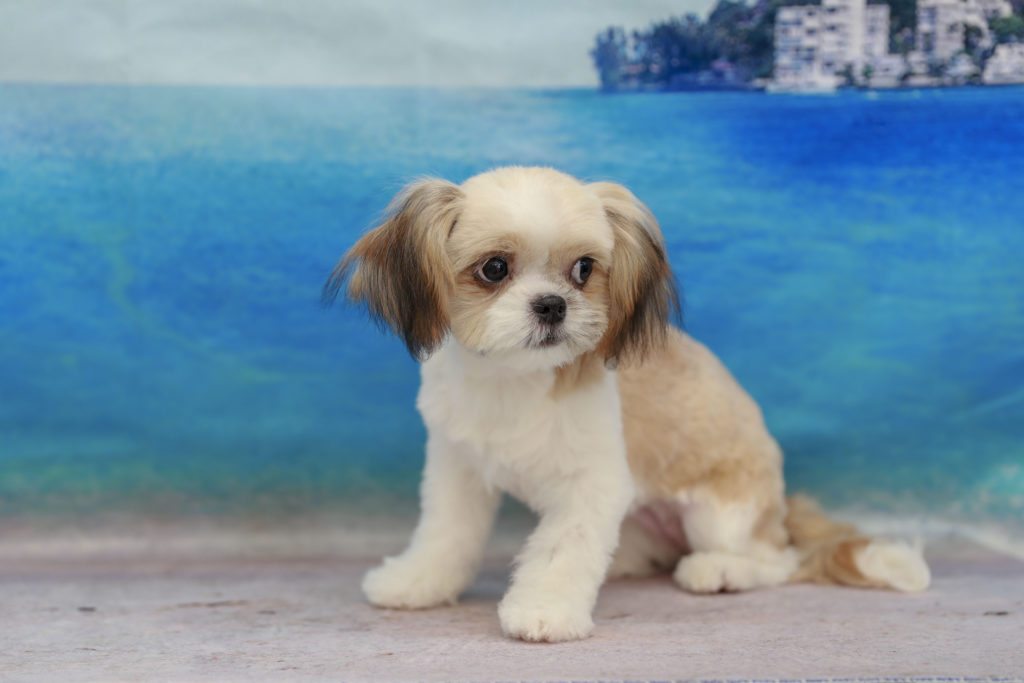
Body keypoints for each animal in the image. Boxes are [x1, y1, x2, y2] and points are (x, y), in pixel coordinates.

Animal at [325, 166, 930, 642]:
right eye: (494, 268)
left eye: (584, 269)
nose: (552, 305)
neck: (512, 381)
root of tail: (782, 509)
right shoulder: (459, 469)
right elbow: (445, 536)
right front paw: (416, 582)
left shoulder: (591, 485)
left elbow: (561, 552)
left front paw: (544, 610)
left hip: (722, 516)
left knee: (779, 561)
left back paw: (719, 571)